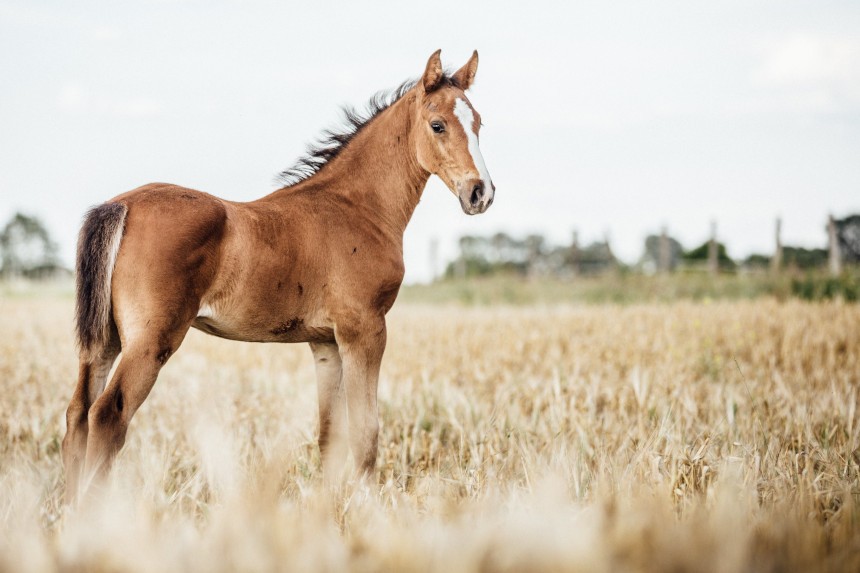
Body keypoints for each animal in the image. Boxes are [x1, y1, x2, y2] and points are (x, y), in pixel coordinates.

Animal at [63, 49, 498, 498]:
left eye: (479, 123)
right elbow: (366, 433)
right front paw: (367, 505)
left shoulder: (325, 342)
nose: (481, 193)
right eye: (438, 124)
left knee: (78, 413)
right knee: (108, 415)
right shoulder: (365, 330)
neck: (356, 208)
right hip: (151, 340)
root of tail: (122, 205)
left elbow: (329, 436)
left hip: (106, 339)